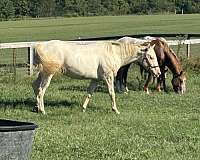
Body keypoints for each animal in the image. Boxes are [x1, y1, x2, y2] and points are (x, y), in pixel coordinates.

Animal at [32, 40, 161, 115]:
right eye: (150, 56)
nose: (158, 73)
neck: (114, 53)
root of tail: (39, 45)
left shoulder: (95, 79)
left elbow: (89, 93)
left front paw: (83, 108)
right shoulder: (108, 77)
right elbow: (112, 93)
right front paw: (115, 110)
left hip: (42, 73)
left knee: (35, 86)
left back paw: (36, 107)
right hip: (48, 74)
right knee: (41, 90)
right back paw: (42, 110)